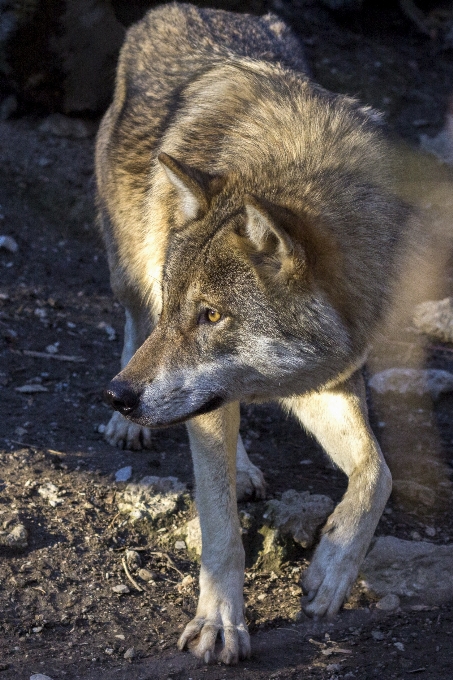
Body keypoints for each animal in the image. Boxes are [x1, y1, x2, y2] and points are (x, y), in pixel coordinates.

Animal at [95, 2, 406, 668]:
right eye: (183, 308)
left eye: (212, 316)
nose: (118, 395)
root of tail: (180, 9)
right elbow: (219, 528)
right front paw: (219, 625)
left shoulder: (329, 376)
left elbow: (378, 475)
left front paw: (332, 572)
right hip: (127, 267)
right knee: (133, 321)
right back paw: (131, 427)